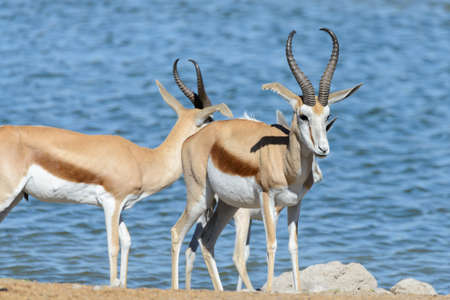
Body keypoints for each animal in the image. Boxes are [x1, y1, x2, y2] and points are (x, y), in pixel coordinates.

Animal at [0, 59, 232, 288]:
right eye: (210, 119)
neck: (143, 160)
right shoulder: (111, 202)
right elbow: (113, 245)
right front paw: (113, 283)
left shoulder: (122, 207)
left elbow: (127, 241)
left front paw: (123, 283)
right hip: (7, 195)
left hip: (15, 198)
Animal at [170, 28, 362, 290]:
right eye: (303, 116)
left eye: (327, 116)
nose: (323, 149)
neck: (285, 163)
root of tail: (194, 138)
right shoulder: (267, 199)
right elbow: (271, 245)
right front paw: (269, 289)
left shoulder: (295, 204)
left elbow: (293, 247)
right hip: (201, 199)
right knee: (178, 233)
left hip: (228, 205)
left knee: (207, 241)